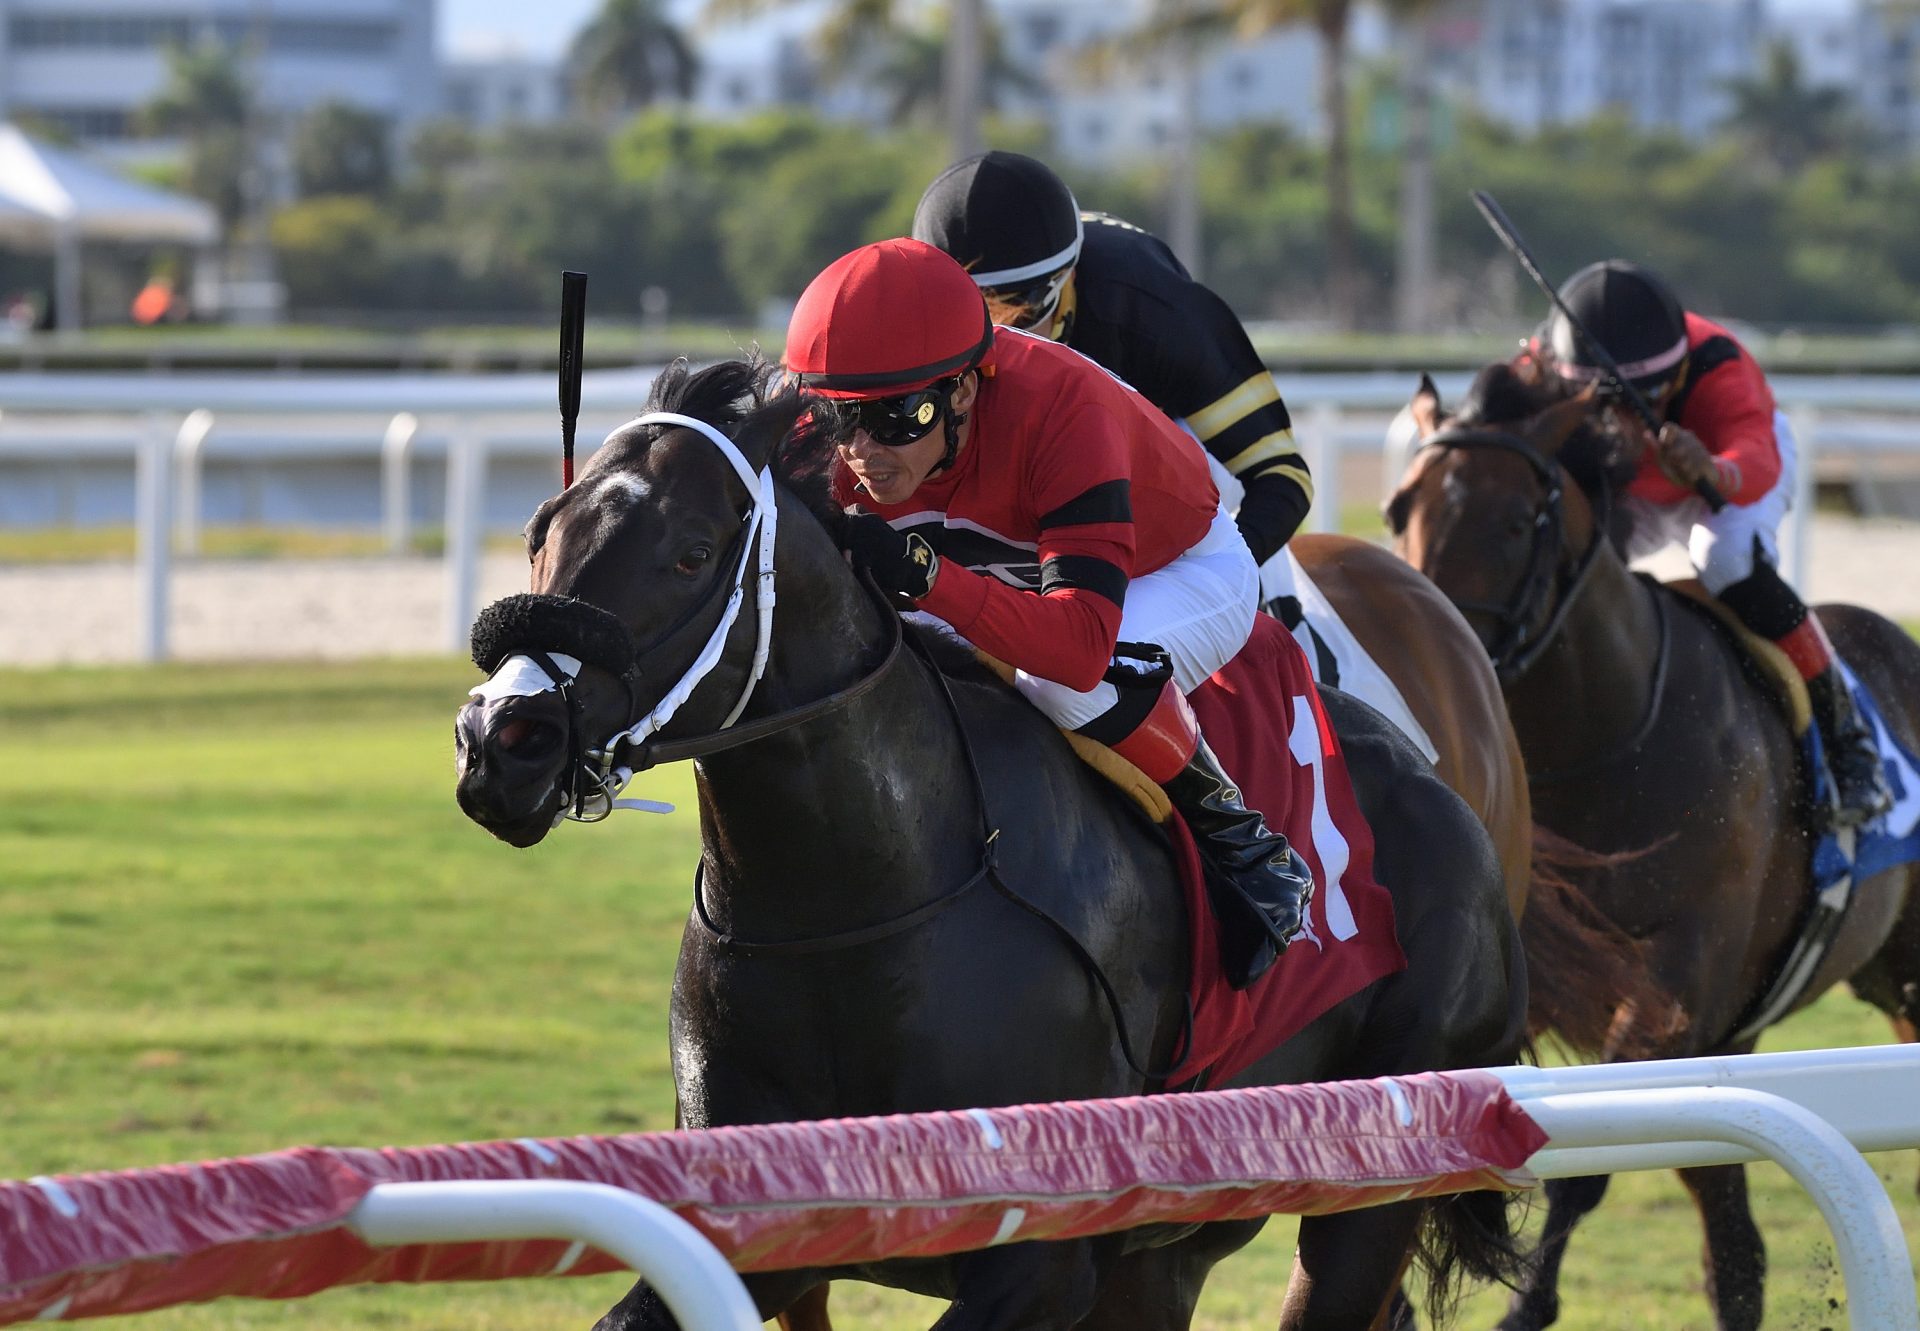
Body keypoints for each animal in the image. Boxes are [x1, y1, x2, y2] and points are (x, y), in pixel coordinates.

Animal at [453, 361, 1528, 1329]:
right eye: (540, 528)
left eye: (689, 551)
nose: (502, 738)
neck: (849, 906)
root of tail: (1448, 786)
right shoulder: (760, 1229)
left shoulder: (1040, 1263)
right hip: (1172, 1245)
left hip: (1371, 1185)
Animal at [1397, 363, 1920, 1329]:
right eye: (1400, 502)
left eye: (1519, 517)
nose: (1432, 641)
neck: (1604, 740)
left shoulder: (1673, 996)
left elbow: (1582, 1167)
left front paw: (1524, 1304)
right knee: (1736, 1247)